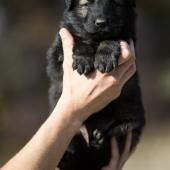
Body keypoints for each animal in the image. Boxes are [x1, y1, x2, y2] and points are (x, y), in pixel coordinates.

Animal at [46, 0, 145, 169]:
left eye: (116, 4)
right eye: (86, 4)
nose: (101, 23)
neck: (96, 40)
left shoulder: (127, 37)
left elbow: (113, 38)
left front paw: (105, 57)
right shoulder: (58, 52)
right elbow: (80, 41)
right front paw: (83, 59)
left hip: (130, 127)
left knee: (114, 139)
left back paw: (101, 138)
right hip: (71, 134)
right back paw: (68, 158)